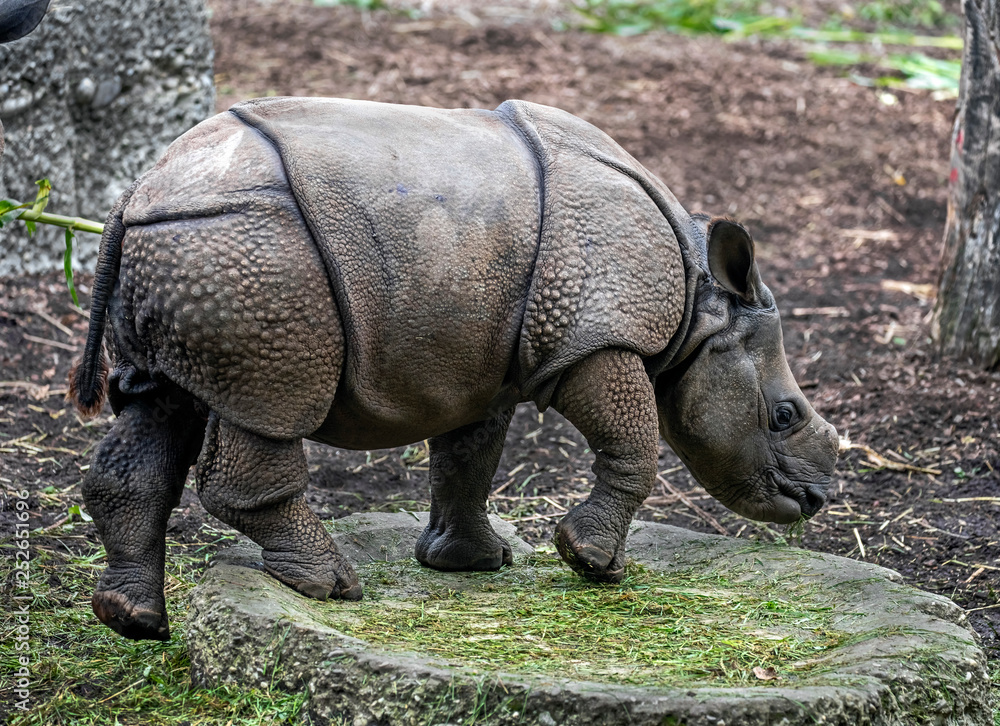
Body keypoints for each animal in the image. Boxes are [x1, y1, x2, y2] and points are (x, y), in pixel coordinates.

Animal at [70, 98, 839, 641]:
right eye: (783, 416)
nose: (816, 501)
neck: (700, 308)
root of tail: (136, 194)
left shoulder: (482, 360)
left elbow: (470, 455)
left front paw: (469, 563)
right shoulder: (594, 337)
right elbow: (633, 445)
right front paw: (591, 563)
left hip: (194, 254)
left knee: (160, 403)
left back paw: (132, 619)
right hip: (253, 255)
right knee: (268, 403)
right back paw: (330, 586)